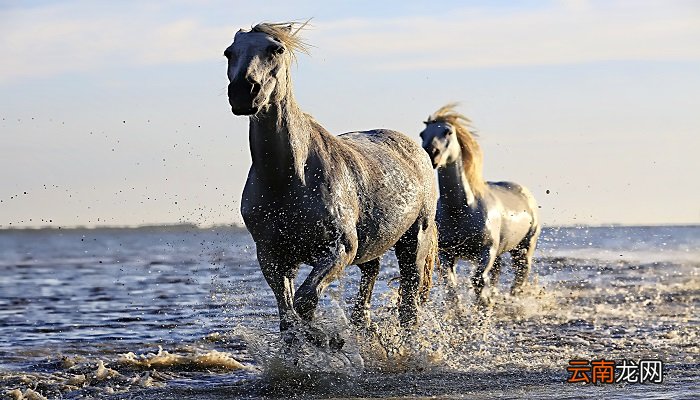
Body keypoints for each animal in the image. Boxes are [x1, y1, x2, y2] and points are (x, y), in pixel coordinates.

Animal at [224, 22, 438, 347]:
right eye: (229, 52)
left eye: (276, 49)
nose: (243, 92)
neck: (288, 179)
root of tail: (415, 150)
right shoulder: (273, 257)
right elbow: (288, 316)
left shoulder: (338, 249)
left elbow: (305, 302)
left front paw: (325, 340)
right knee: (369, 281)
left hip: (414, 243)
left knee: (409, 307)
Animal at [419, 103, 540, 307]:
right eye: (422, 134)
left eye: (448, 131)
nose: (431, 153)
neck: (460, 209)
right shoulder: (446, 254)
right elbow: (451, 287)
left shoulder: (486, 251)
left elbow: (478, 281)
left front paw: (483, 307)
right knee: (498, 272)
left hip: (524, 248)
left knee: (520, 277)